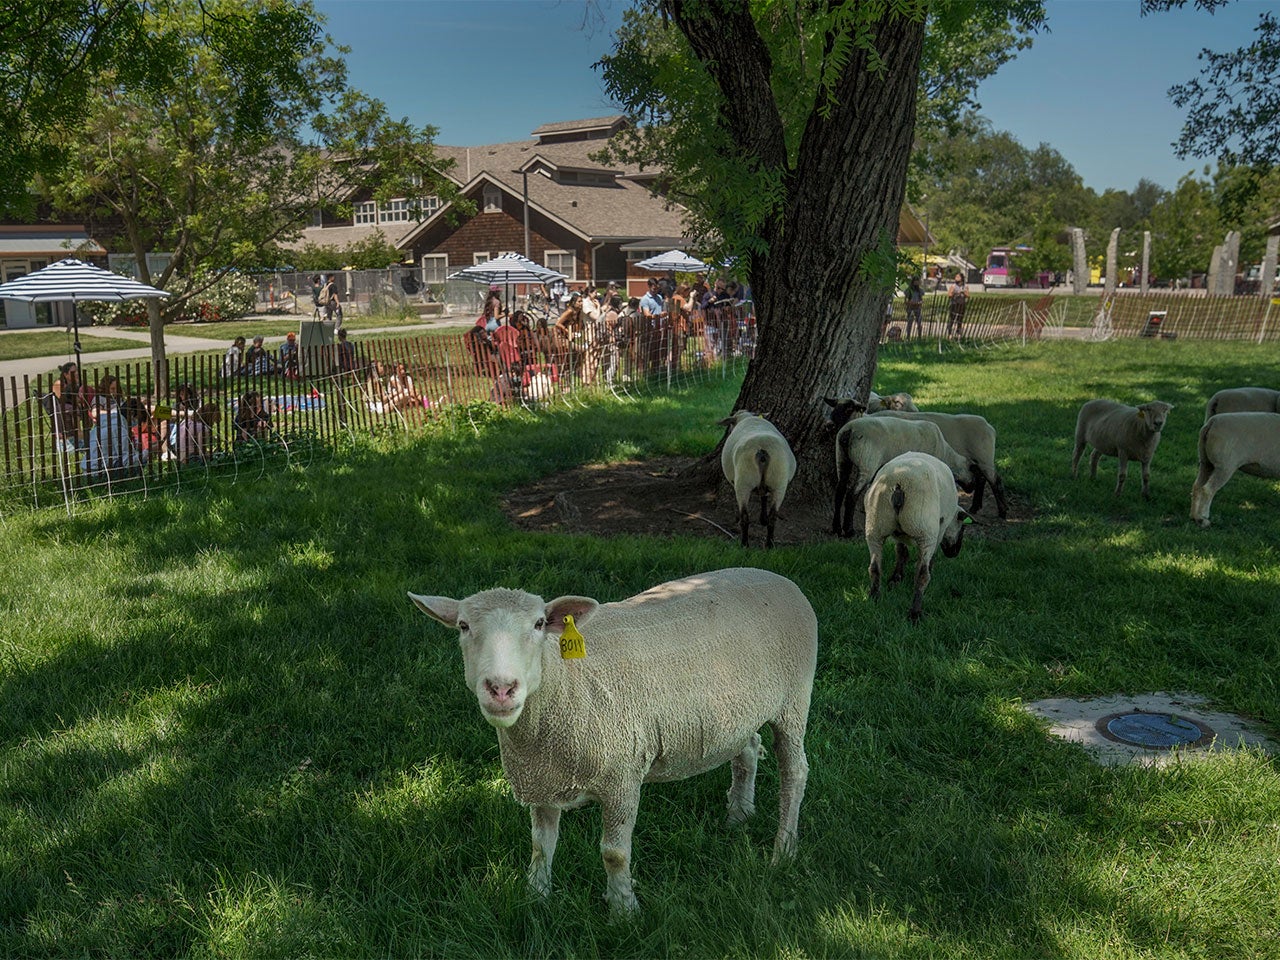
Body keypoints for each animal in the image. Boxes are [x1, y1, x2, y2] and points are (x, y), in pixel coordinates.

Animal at [408, 566, 818, 915]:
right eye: (463, 626)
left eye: (539, 624)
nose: (501, 688)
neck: (566, 682)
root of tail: (778, 577)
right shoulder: (544, 777)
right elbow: (541, 844)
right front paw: (536, 896)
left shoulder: (622, 775)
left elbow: (614, 853)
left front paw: (623, 911)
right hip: (737, 710)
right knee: (747, 748)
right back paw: (739, 815)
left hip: (795, 699)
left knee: (795, 773)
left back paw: (783, 851)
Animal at [717, 410, 797, 548]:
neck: (748, 418)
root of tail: (762, 449)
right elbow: (764, 496)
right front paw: (763, 519)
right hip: (779, 482)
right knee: (773, 516)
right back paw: (769, 545)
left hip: (744, 481)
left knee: (745, 516)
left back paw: (744, 544)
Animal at [832, 415, 977, 538]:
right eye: (974, 474)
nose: (971, 489)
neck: (947, 455)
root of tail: (849, 430)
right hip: (867, 462)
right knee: (851, 495)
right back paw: (849, 530)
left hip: (842, 457)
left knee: (839, 491)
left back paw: (837, 528)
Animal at [864, 452, 973, 622]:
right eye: (963, 527)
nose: (954, 553)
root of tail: (899, 483)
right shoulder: (940, 528)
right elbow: (930, 557)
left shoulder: (898, 535)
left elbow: (901, 551)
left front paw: (896, 578)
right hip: (925, 530)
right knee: (922, 574)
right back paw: (915, 613)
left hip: (875, 525)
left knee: (874, 567)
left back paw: (874, 597)